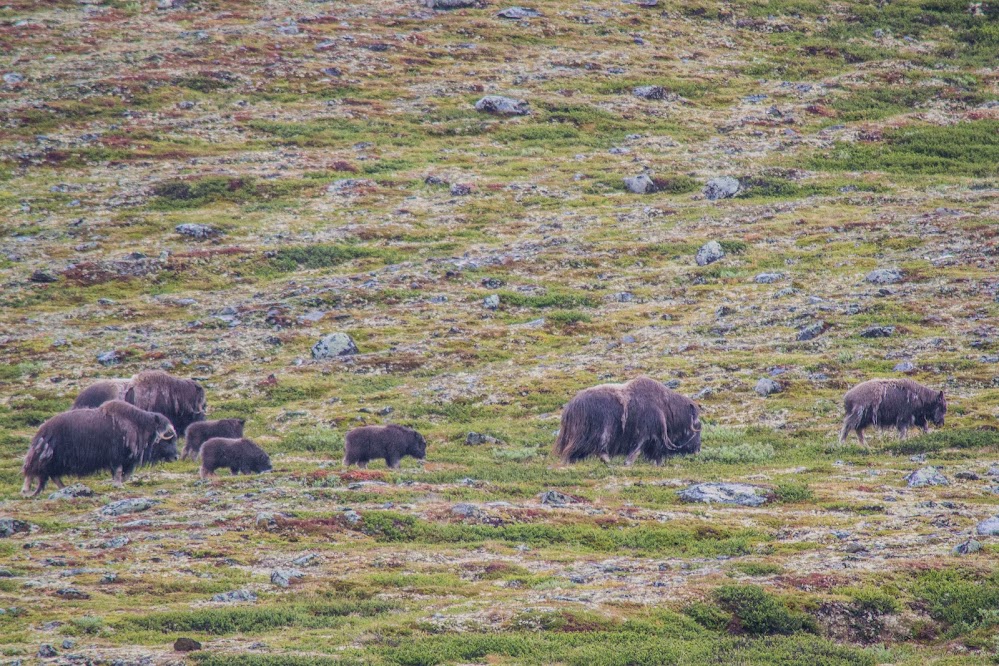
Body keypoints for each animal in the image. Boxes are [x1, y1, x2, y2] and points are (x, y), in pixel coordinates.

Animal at [22, 400, 178, 492]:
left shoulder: (128, 461)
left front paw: (118, 483)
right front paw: (118, 485)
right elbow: (118, 472)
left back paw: (64, 488)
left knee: (53, 475)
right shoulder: (116, 457)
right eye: (168, 439)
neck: (139, 427)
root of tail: (43, 429)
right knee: (33, 470)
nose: (176, 457)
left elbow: (126, 474)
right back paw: (26, 491)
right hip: (47, 456)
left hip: (56, 461)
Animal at [556, 376, 704, 464]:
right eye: (697, 427)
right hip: (599, 431)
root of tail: (570, 408)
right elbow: (637, 449)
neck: (666, 408)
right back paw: (607, 461)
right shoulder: (646, 432)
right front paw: (628, 463)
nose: (697, 450)